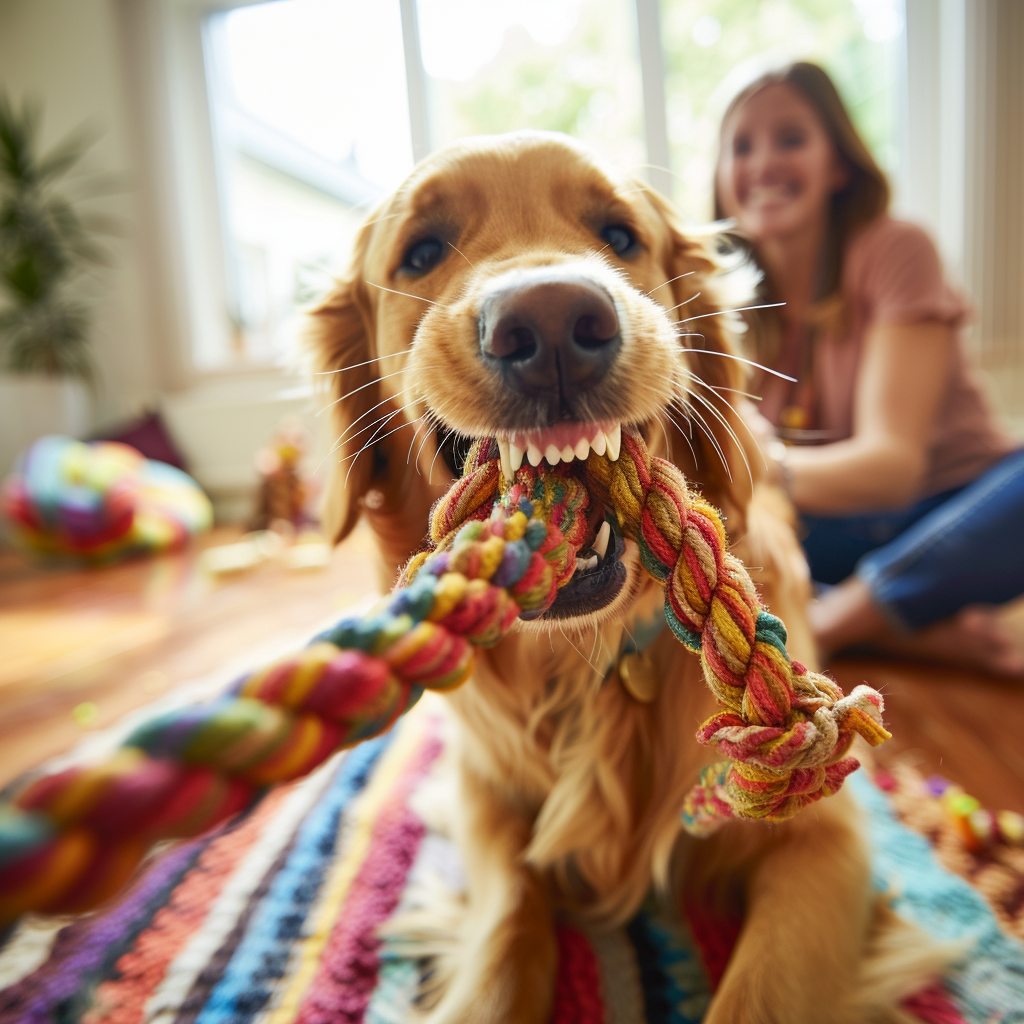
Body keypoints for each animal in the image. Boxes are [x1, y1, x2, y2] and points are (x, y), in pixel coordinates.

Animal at [305, 132, 942, 1019]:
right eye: (422, 252)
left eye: (619, 235)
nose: (551, 325)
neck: (582, 664)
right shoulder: (484, 797)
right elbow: (505, 933)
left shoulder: (826, 842)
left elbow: (760, 993)